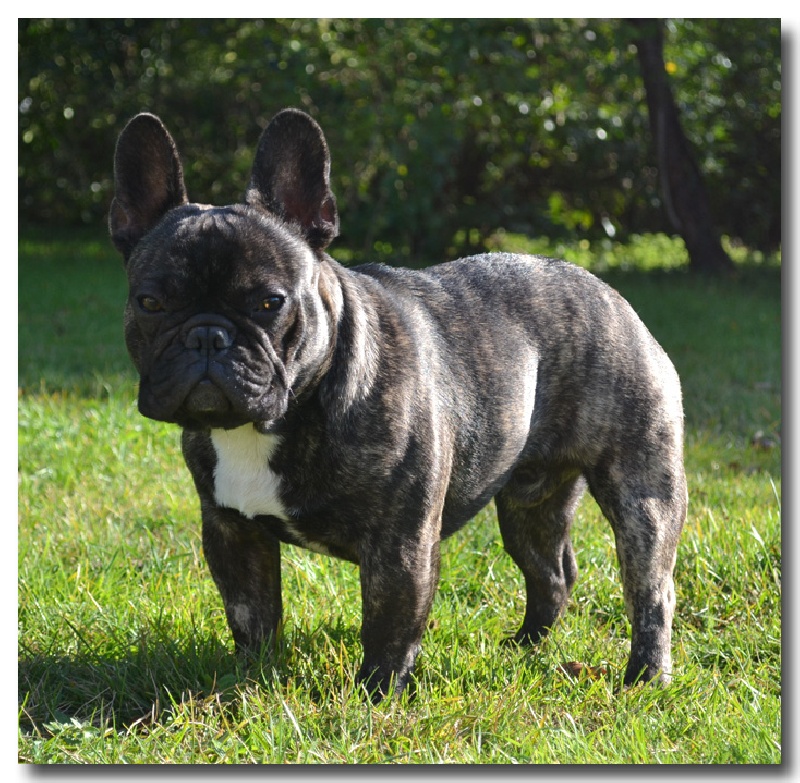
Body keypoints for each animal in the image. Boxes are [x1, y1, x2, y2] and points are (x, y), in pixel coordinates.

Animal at [109, 108, 687, 701]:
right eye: (149, 302)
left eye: (270, 303)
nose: (208, 337)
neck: (276, 421)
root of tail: (609, 293)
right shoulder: (232, 529)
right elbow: (252, 613)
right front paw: (250, 677)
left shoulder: (401, 543)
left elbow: (388, 622)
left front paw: (376, 695)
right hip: (529, 502)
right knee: (550, 572)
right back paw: (525, 647)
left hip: (643, 490)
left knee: (651, 588)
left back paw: (646, 676)